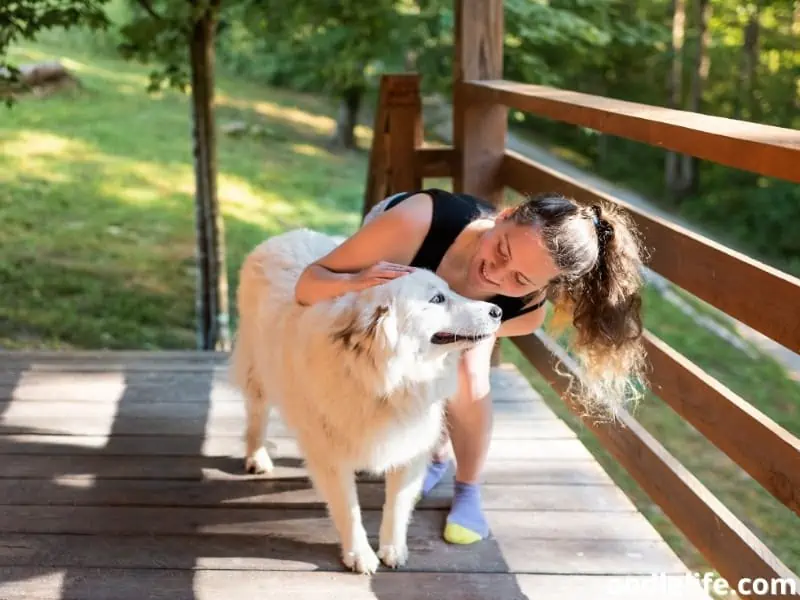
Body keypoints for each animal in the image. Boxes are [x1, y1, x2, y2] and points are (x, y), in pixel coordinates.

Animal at [228, 229, 500, 572]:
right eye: (437, 299)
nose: (498, 311)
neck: (384, 380)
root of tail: (288, 233)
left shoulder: (409, 445)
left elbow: (396, 505)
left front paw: (393, 549)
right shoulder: (330, 457)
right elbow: (348, 509)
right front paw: (359, 555)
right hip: (258, 372)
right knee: (257, 415)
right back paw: (257, 456)